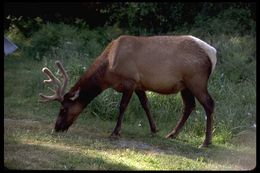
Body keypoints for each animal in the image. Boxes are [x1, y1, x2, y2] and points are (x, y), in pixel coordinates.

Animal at [39, 35, 216, 147]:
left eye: (63, 108)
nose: (56, 127)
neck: (108, 71)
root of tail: (213, 54)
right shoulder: (139, 84)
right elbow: (146, 105)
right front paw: (154, 130)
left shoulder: (130, 81)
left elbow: (122, 106)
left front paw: (115, 132)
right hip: (185, 85)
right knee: (189, 106)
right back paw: (172, 134)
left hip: (196, 80)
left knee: (209, 103)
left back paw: (206, 142)